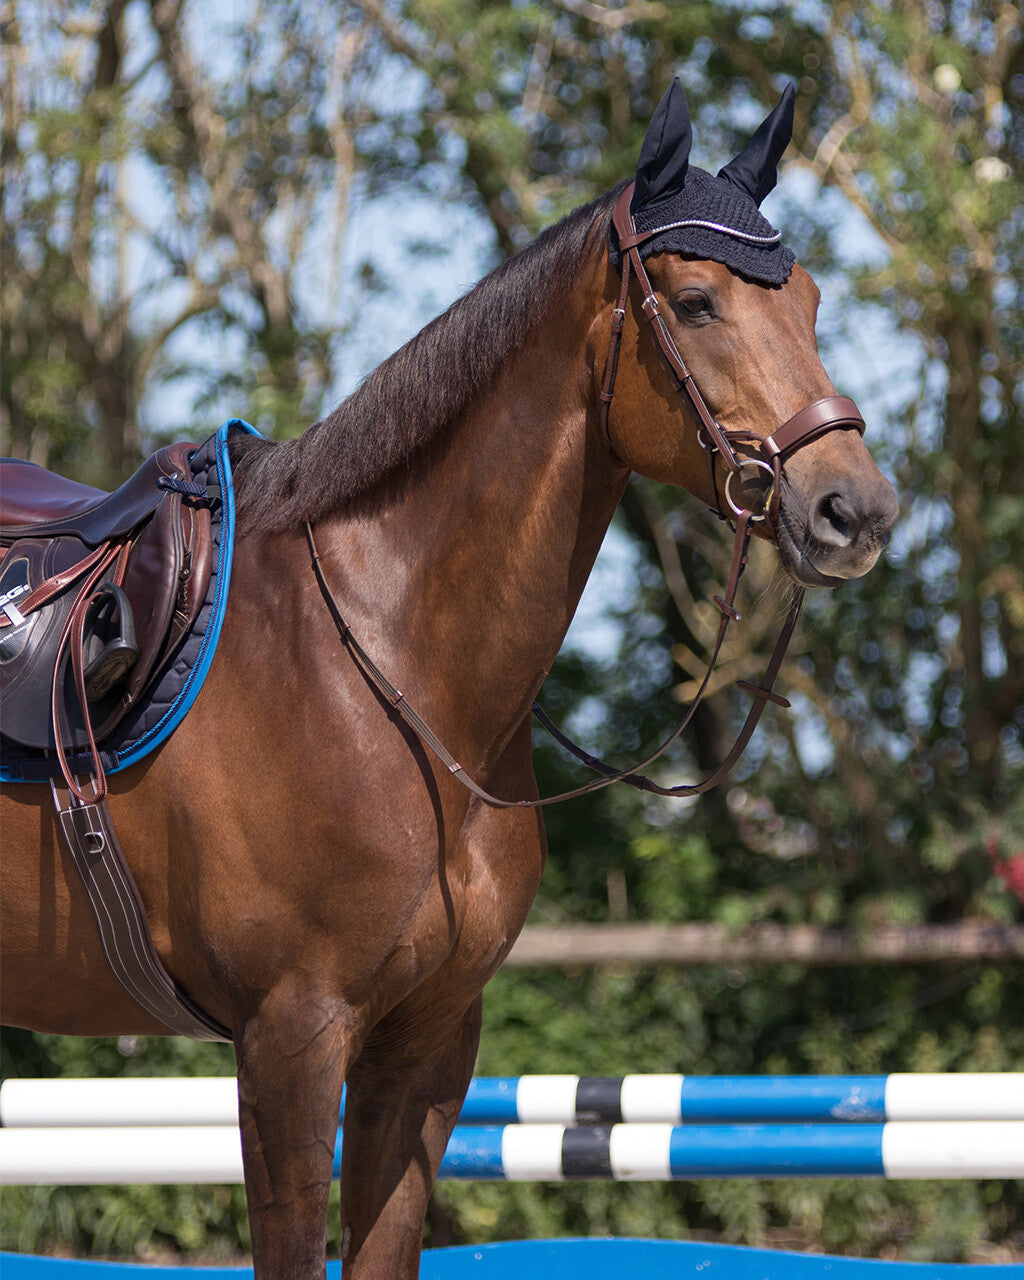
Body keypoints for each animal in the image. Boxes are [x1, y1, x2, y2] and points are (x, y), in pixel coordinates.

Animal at [2, 85, 896, 1274]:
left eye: (808, 301)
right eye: (698, 302)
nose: (854, 509)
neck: (386, 668)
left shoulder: (425, 1045)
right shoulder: (291, 1038)